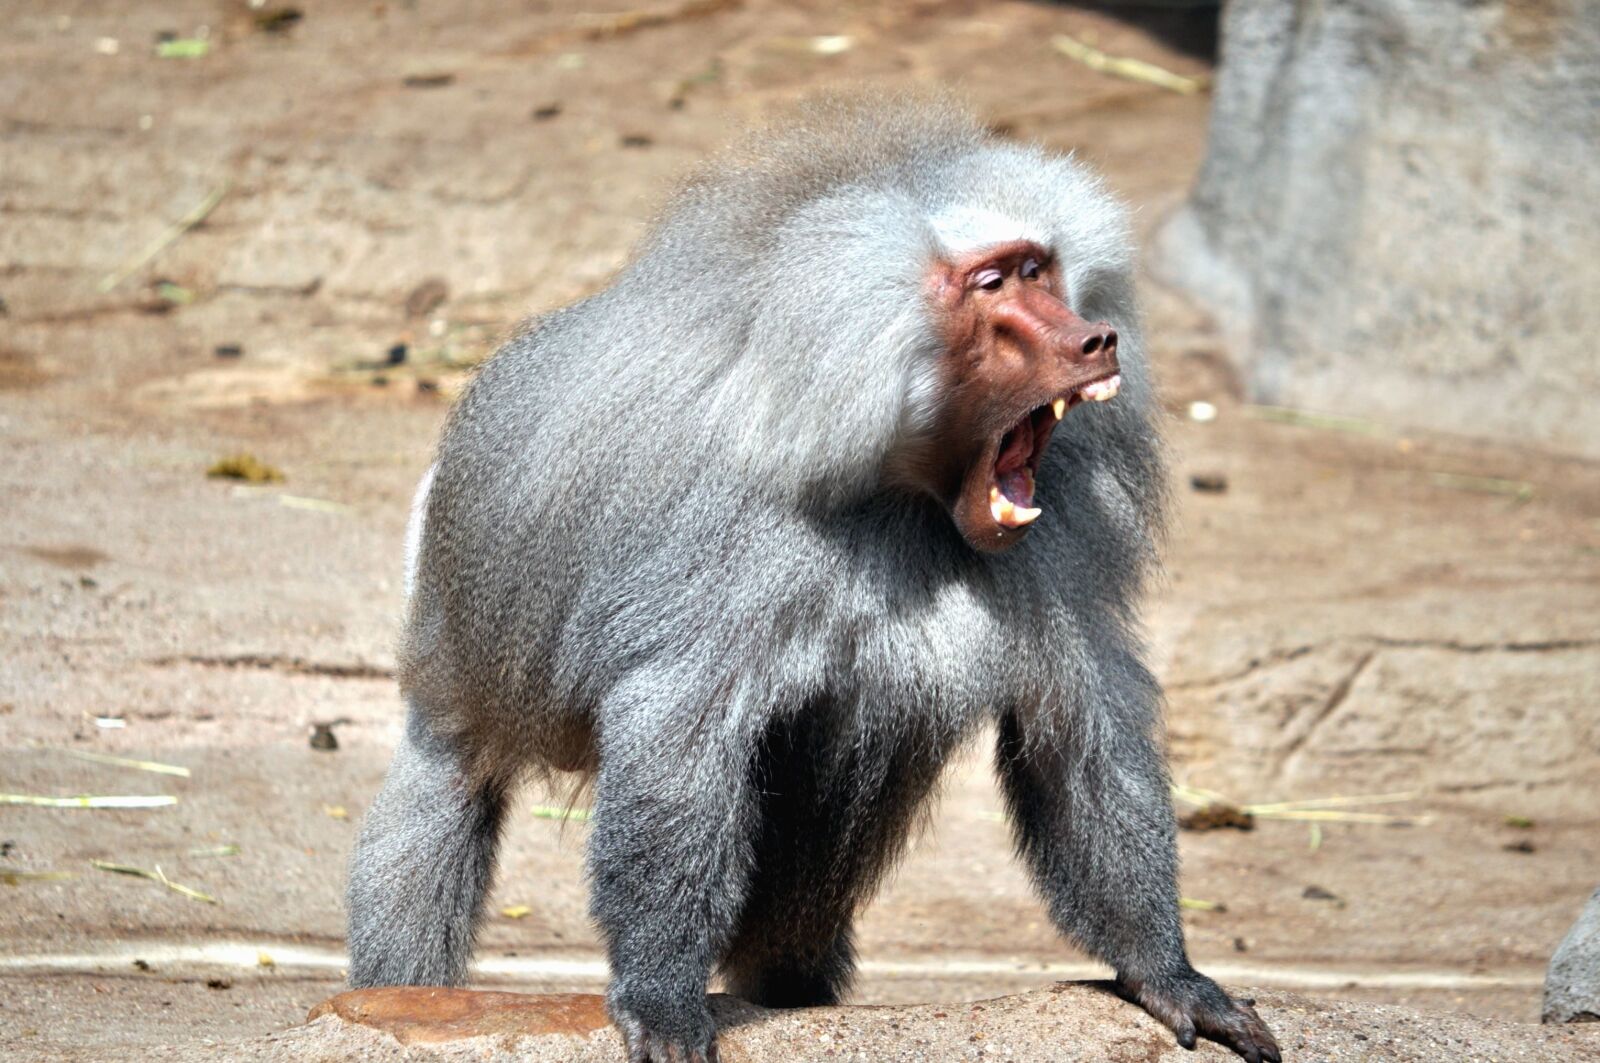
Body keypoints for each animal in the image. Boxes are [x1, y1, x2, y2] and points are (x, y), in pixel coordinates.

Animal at [345, 94, 1281, 1063]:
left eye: (1039, 269)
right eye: (991, 285)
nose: (1095, 338)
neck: (897, 488)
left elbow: (1080, 730)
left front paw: (1168, 977)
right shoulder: (725, 542)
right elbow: (677, 735)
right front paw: (660, 999)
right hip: (454, 618)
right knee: (447, 787)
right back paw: (400, 993)